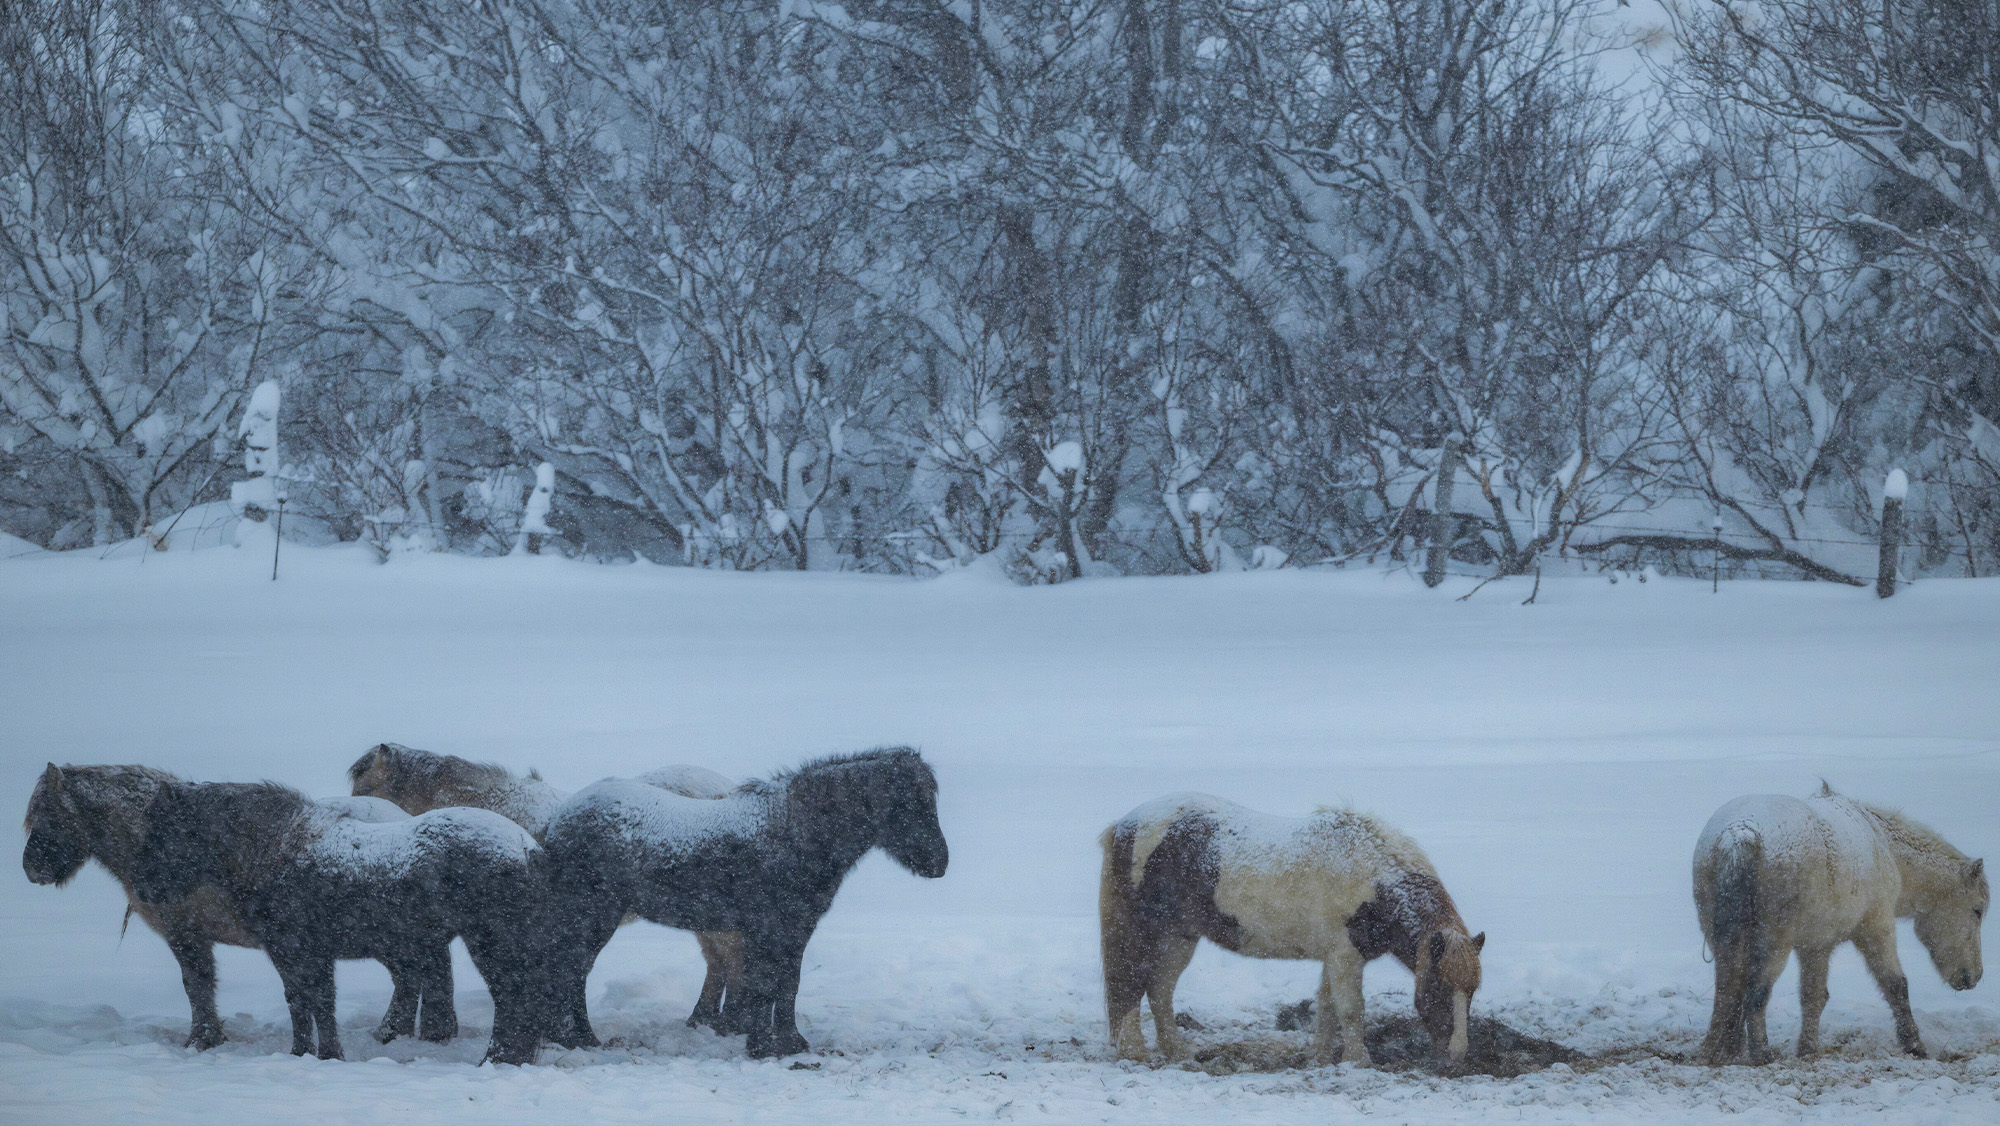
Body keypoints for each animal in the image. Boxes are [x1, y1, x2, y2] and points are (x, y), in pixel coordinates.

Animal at [22, 763, 454, 1049]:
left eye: (48, 816)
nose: (30, 869)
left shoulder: (186, 934)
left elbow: (196, 985)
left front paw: (202, 1039)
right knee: (415, 977)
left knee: (417, 976)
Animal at [130, 779, 548, 1064]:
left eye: (163, 831)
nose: (143, 889)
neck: (274, 852)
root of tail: (525, 845)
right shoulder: (294, 957)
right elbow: (301, 1004)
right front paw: (302, 1053)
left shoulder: (303, 953)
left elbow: (317, 1003)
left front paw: (328, 1054)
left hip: (489, 945)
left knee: (512, 1001)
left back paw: (493, 1059)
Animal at [537, 746, 949, 1058]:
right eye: (905, 803)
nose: (939, 864)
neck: (793, 835)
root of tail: (558, 820)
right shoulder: (771, 928)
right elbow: (767, 985)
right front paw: (765, 1045)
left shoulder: (794, 930)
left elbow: (785, 984)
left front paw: (788, 1043)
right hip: (594, 915)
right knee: (573, 970)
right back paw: (582, 1039)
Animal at [1100, 794, 1485, 1070]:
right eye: (1437, 987)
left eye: (1471, 992)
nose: (1456, 1057)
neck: (1372, 881)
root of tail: (1126, 825)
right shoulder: (1345, 956)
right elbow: (1351, 1009)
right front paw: (1358, 1061)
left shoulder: (1334, 956)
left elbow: (1327, 1007)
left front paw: (1321, 1059)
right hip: (1143, 933)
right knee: (1130, 984)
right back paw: (1136, 1053)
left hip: (1178, 938)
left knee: (1159, 990)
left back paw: (1178, 1052)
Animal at [1694, 784, 1987, 1064]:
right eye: (1977, 911)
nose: (1974, 976)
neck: (1882, 844)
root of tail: (1740, 834)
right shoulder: (1877, 930)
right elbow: (1895, 985)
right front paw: (1914, 1045)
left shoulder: (1816, 946)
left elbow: (1813, 996)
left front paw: (1807, 1048)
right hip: (1773, 946)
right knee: (1755, 993)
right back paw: (1760, 1054)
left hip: (1726, 942)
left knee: (1727, 990)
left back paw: (1716, 1050)